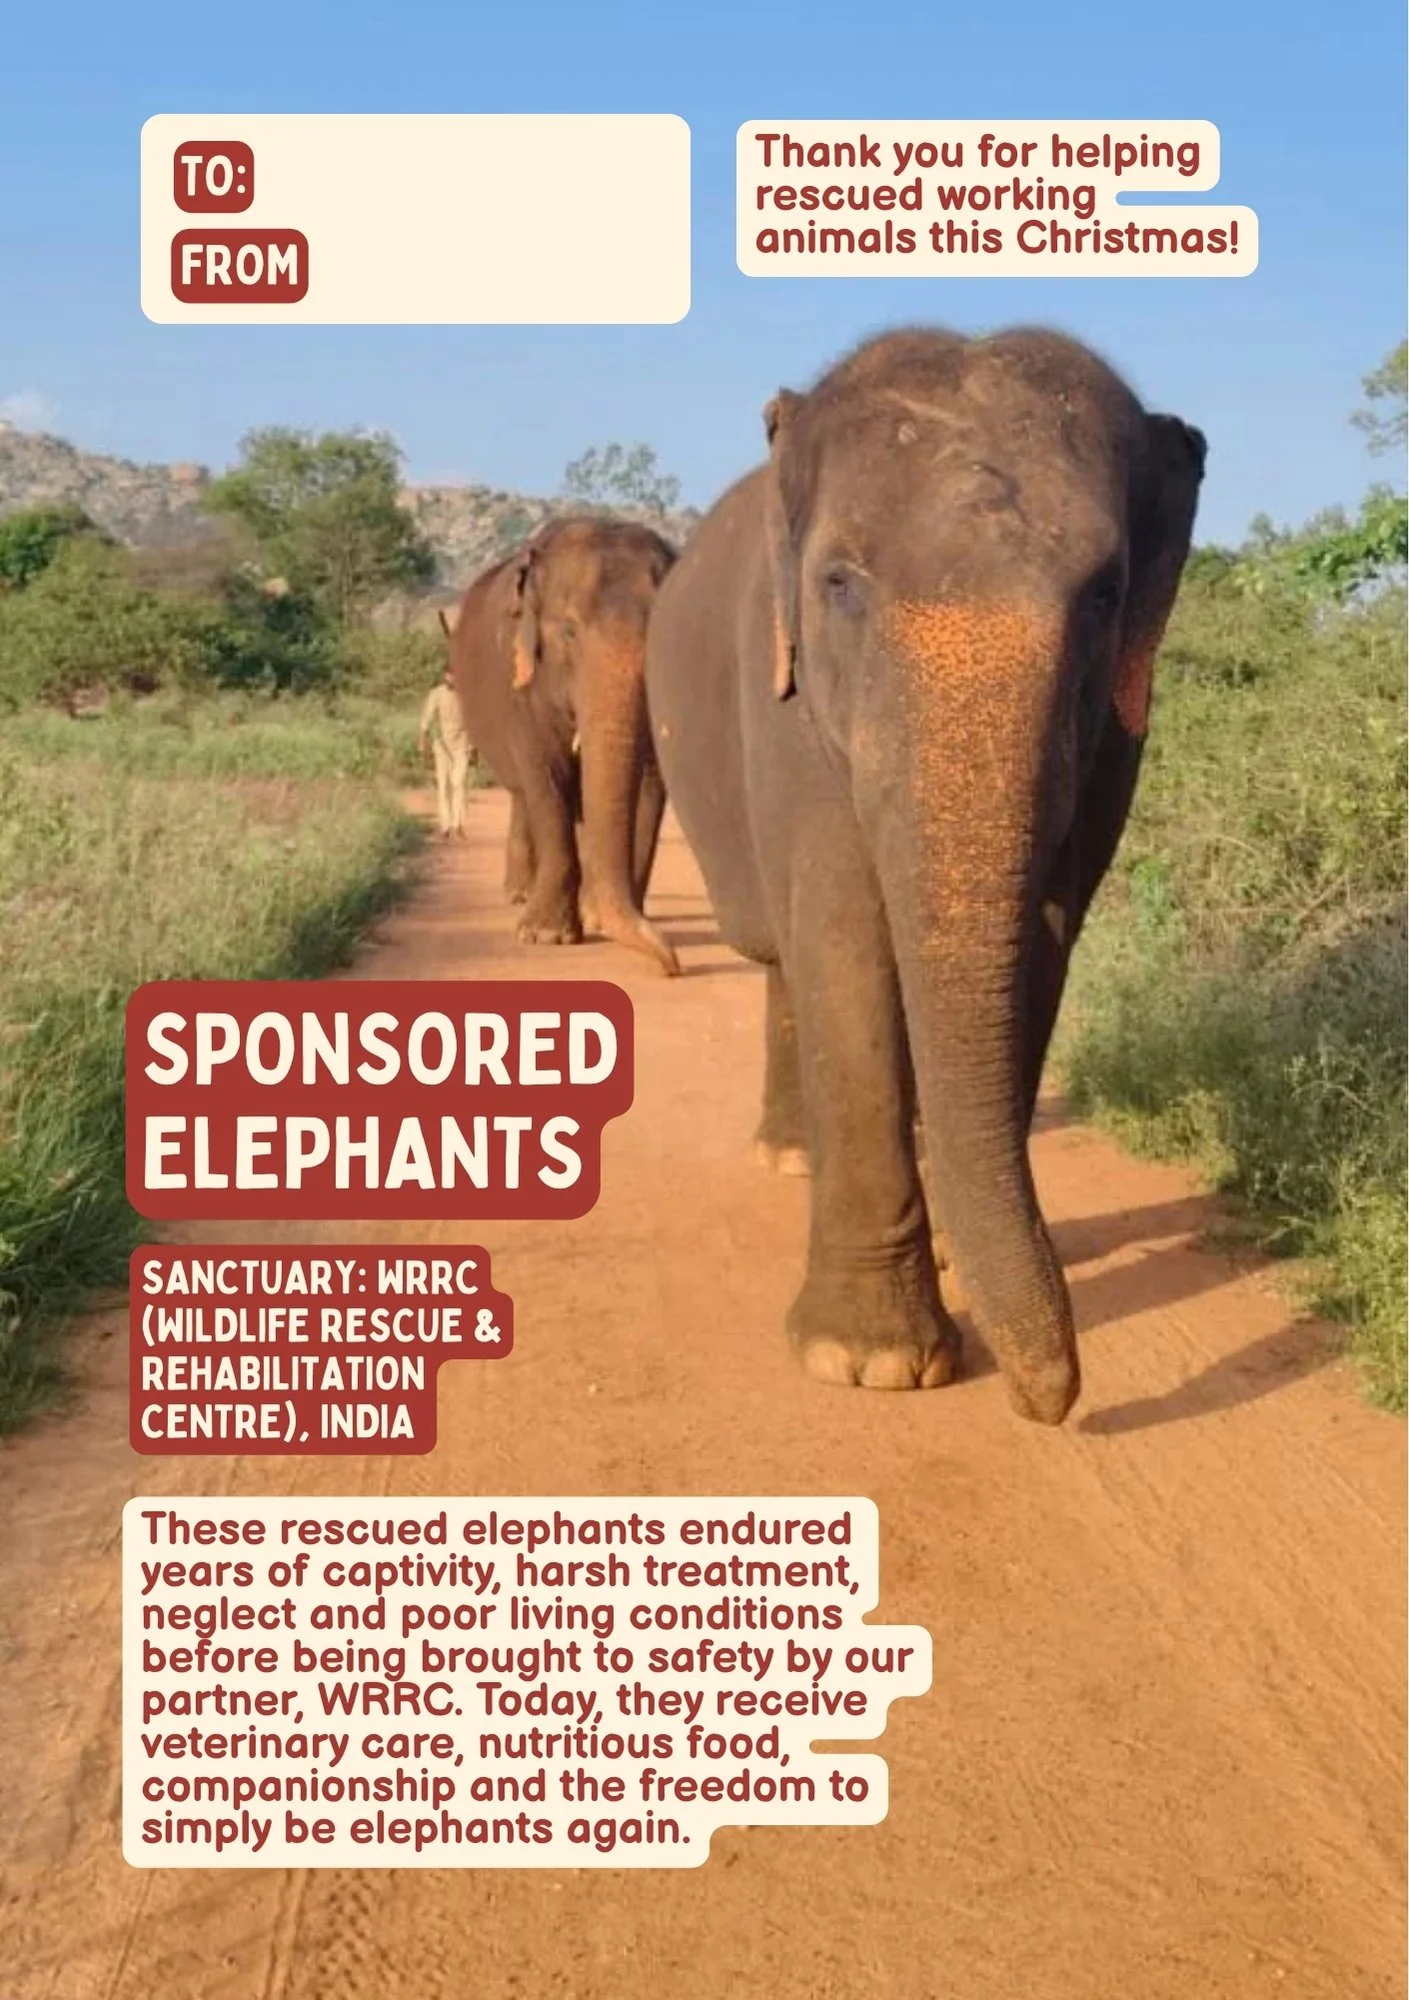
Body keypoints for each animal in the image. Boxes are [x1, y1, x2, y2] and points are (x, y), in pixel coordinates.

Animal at [440, 516, 679, 976]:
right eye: (569, 633)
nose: (671, 965)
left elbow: (650, 782)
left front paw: (601, 920)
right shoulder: (519, 679)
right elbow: (546, 773)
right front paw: (545, 936)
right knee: (524, 791)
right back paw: (519, 895)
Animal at [645, 327, 1205, 1423]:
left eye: (1104, 596)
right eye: (838, 585)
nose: (1056, 1402)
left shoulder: (1120, 730)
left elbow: (1043, 943)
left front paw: (955, 1277)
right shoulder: (786, 703)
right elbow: (844, 939)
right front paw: (871, 1362)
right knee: (786, 951)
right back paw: (793, 1159)